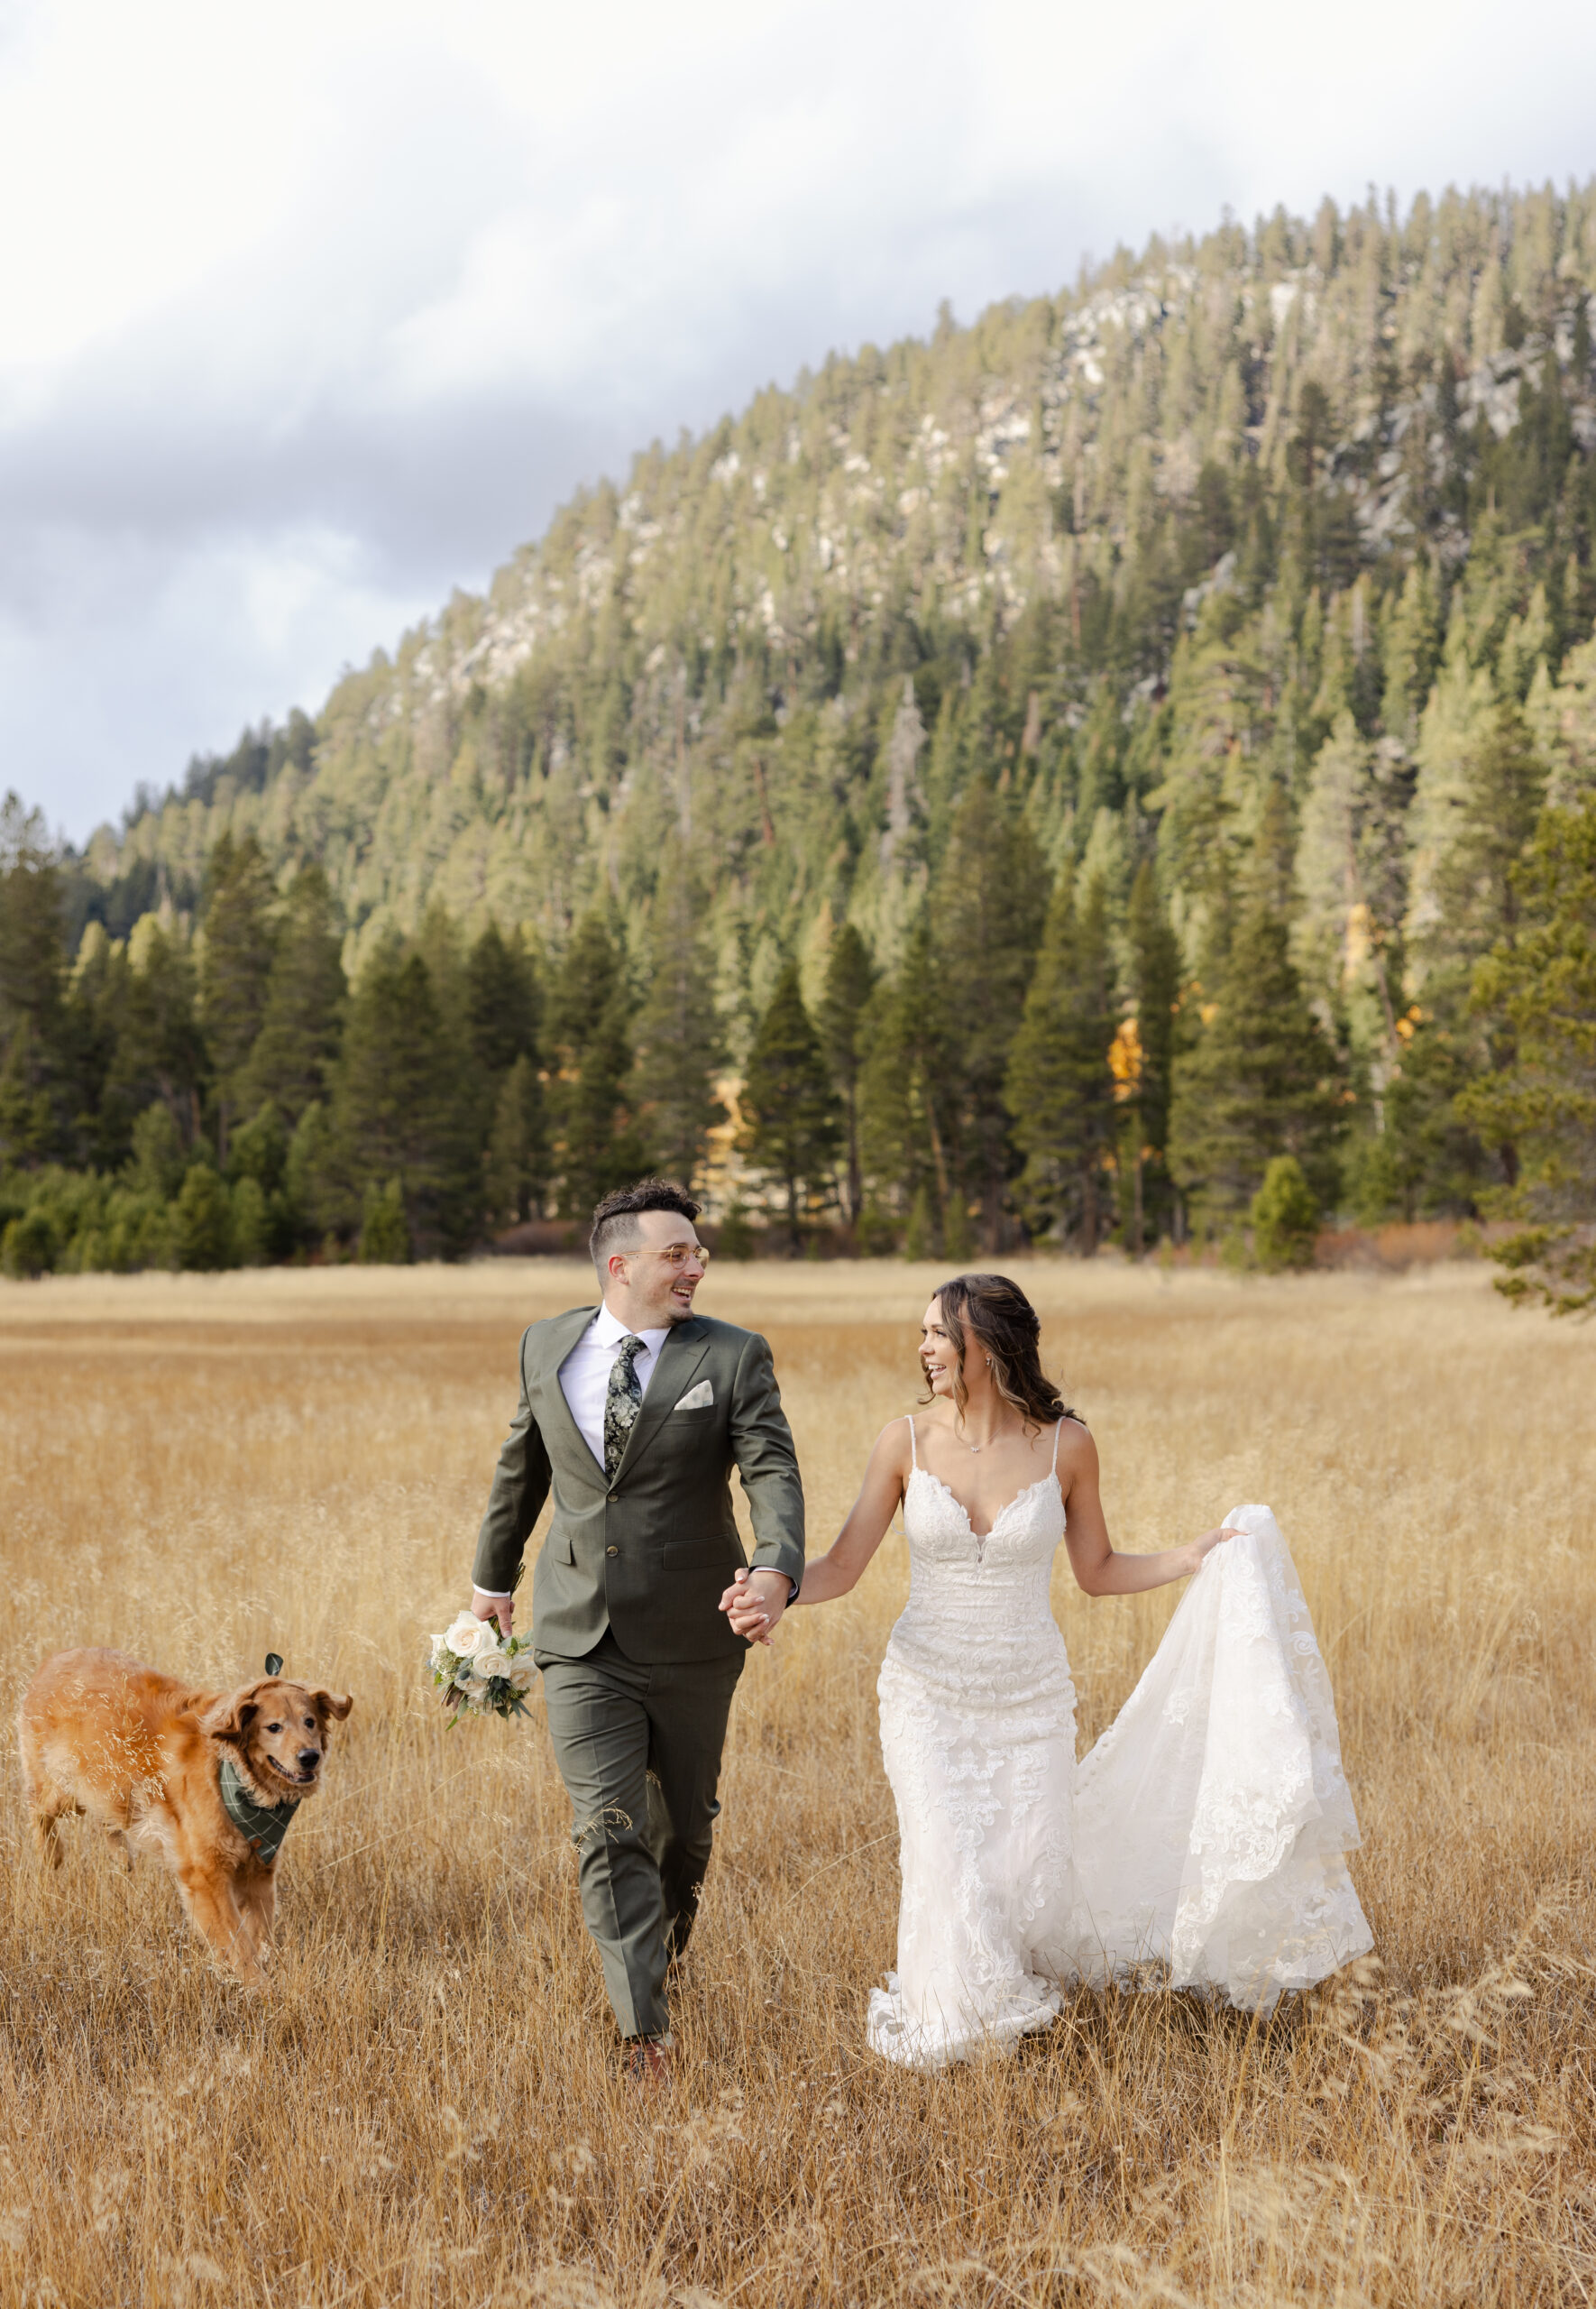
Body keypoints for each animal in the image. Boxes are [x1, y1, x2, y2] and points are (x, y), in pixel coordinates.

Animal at [19, 1643, 348, 1985]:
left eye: (310, 1722)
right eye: (274, 1727)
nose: (310, 1757)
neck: (235, 1777)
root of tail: (55, 1659)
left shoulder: (258, 1872)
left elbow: (260, 1934)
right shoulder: (206, 1877)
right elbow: (239, 1943)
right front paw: (258, 1985)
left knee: (107, 1818)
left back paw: (121, 1857)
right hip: (65, 1789)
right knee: (35, 1807)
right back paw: (50, 1855)